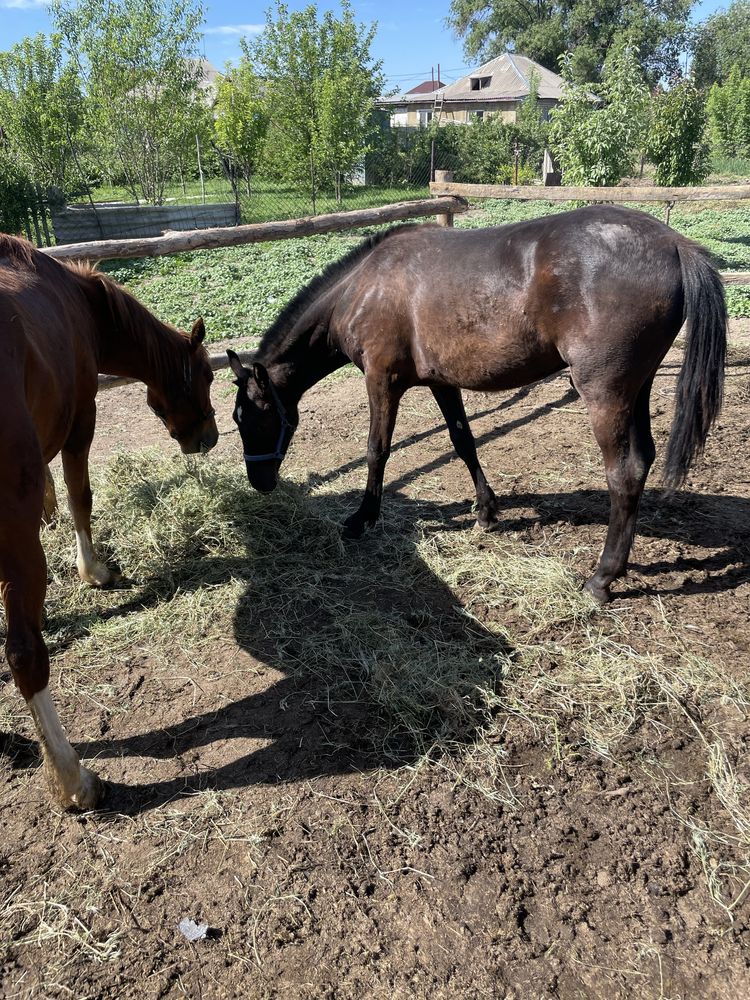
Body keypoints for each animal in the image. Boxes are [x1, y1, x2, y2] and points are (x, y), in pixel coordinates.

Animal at [1, 236, 220, 812]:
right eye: (208, 374)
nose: (209, 437)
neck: (80, 302)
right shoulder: (82, 422)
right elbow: (80, 498)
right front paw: (93, 570)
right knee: (25, 657)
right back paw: (73, 779)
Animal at [228, 205, 728, 600]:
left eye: (248, 418)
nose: (260, 483)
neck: (364, 287)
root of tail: (674, 244)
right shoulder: (441, 383)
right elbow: (463, 441)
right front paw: (486, 511)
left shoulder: (381, 380)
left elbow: (377, 451)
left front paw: (362, 518)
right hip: (636, 389)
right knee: (642, 460)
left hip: (605, 393)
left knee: (623, 474)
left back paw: (602, 578)